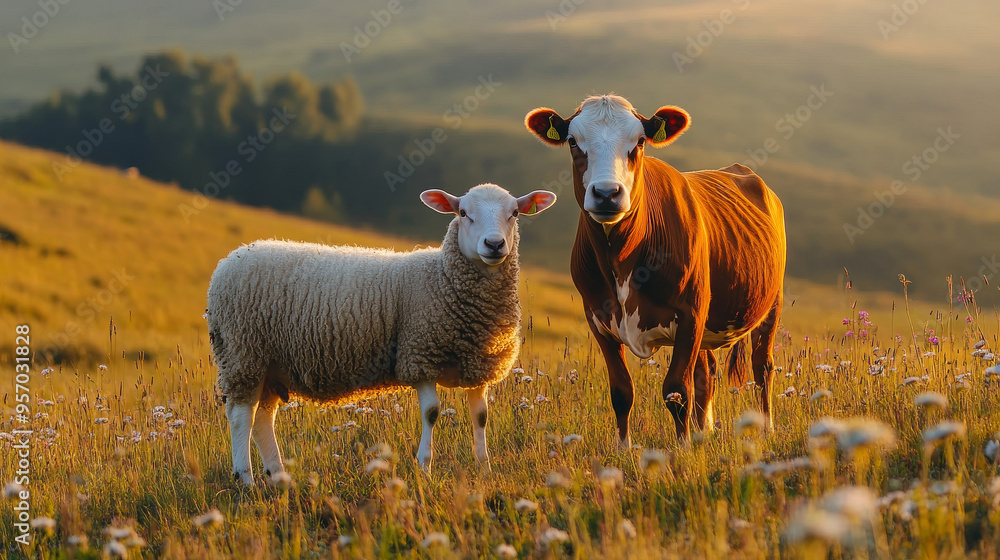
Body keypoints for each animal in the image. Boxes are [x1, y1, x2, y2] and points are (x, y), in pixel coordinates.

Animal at [206, 184, 557, 485]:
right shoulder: (419, 355)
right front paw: (424, 468)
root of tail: (227, 262)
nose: (494, 245)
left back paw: (278, 477)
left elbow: (480, 416)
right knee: (241, 416)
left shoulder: (478, 365)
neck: (442, 277)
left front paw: (484, 469)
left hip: (268, 364)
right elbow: (432, 413)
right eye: (462, 212)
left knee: (263, 418)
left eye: (514, 213)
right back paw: (246, 478)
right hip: (243, 353)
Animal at [525, 95, 786, 444]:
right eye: (572, 142)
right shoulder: (597, 318)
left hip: (771, 303)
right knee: (708, 371)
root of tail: (739, 170)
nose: (606, 193)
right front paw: (624, 447)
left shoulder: (691, 314)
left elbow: (677, 391)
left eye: (639, 142)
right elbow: (622, 391)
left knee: (762, 366)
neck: (620, 260)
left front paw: (684, 448)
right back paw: (705, 430)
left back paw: (766, 428)